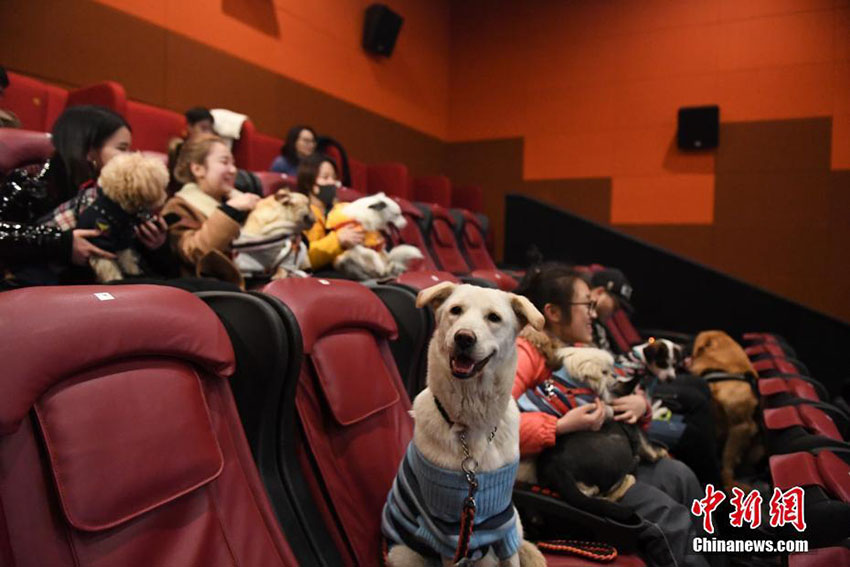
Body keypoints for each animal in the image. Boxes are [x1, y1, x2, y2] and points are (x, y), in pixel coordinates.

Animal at [382, 284, 548, 567]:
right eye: (455, 310)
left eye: (494, 317)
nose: (464, 337)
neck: (474, 425)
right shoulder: (448, 534)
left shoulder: (503, 521)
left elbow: (511, 556)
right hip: (404, 554)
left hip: (515, 523)